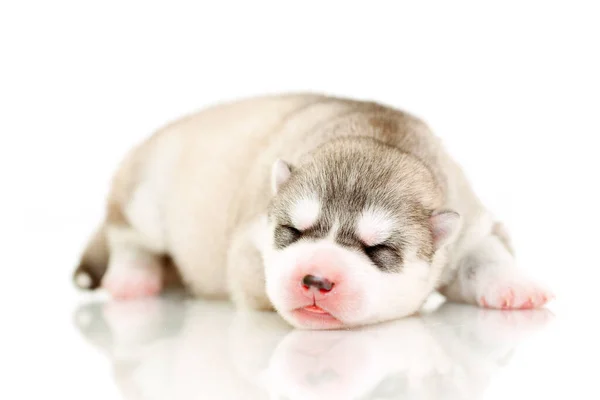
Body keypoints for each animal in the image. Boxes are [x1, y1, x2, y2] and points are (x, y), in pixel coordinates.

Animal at [72, 93, 556, 328]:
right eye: (292, 230)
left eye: (377, 249)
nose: (316, 279)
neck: (379, 137)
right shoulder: (249, 238)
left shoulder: (468, 219)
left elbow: (485, 250)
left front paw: (514, 287)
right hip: (144, 194)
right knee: (126, 235)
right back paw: (133, 277)